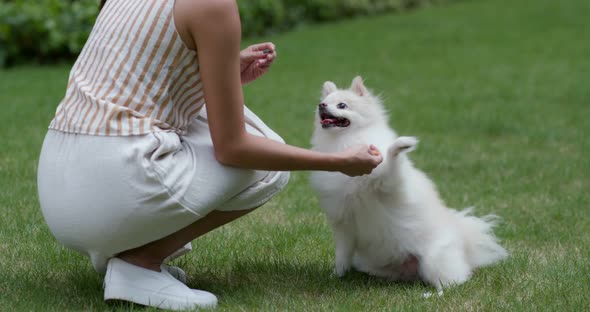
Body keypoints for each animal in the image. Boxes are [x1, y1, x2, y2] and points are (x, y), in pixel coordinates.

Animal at [310, 77, 508, 292]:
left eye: (342, 105)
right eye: (324, 102)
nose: (321, 105)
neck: (344, 142)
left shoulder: (389, 185)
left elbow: (391, 162)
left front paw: (400, 145)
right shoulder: (343, 223)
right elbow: (342, 255)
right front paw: (336, 275)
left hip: (433, 260)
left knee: (455, 279)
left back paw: (437, 291)